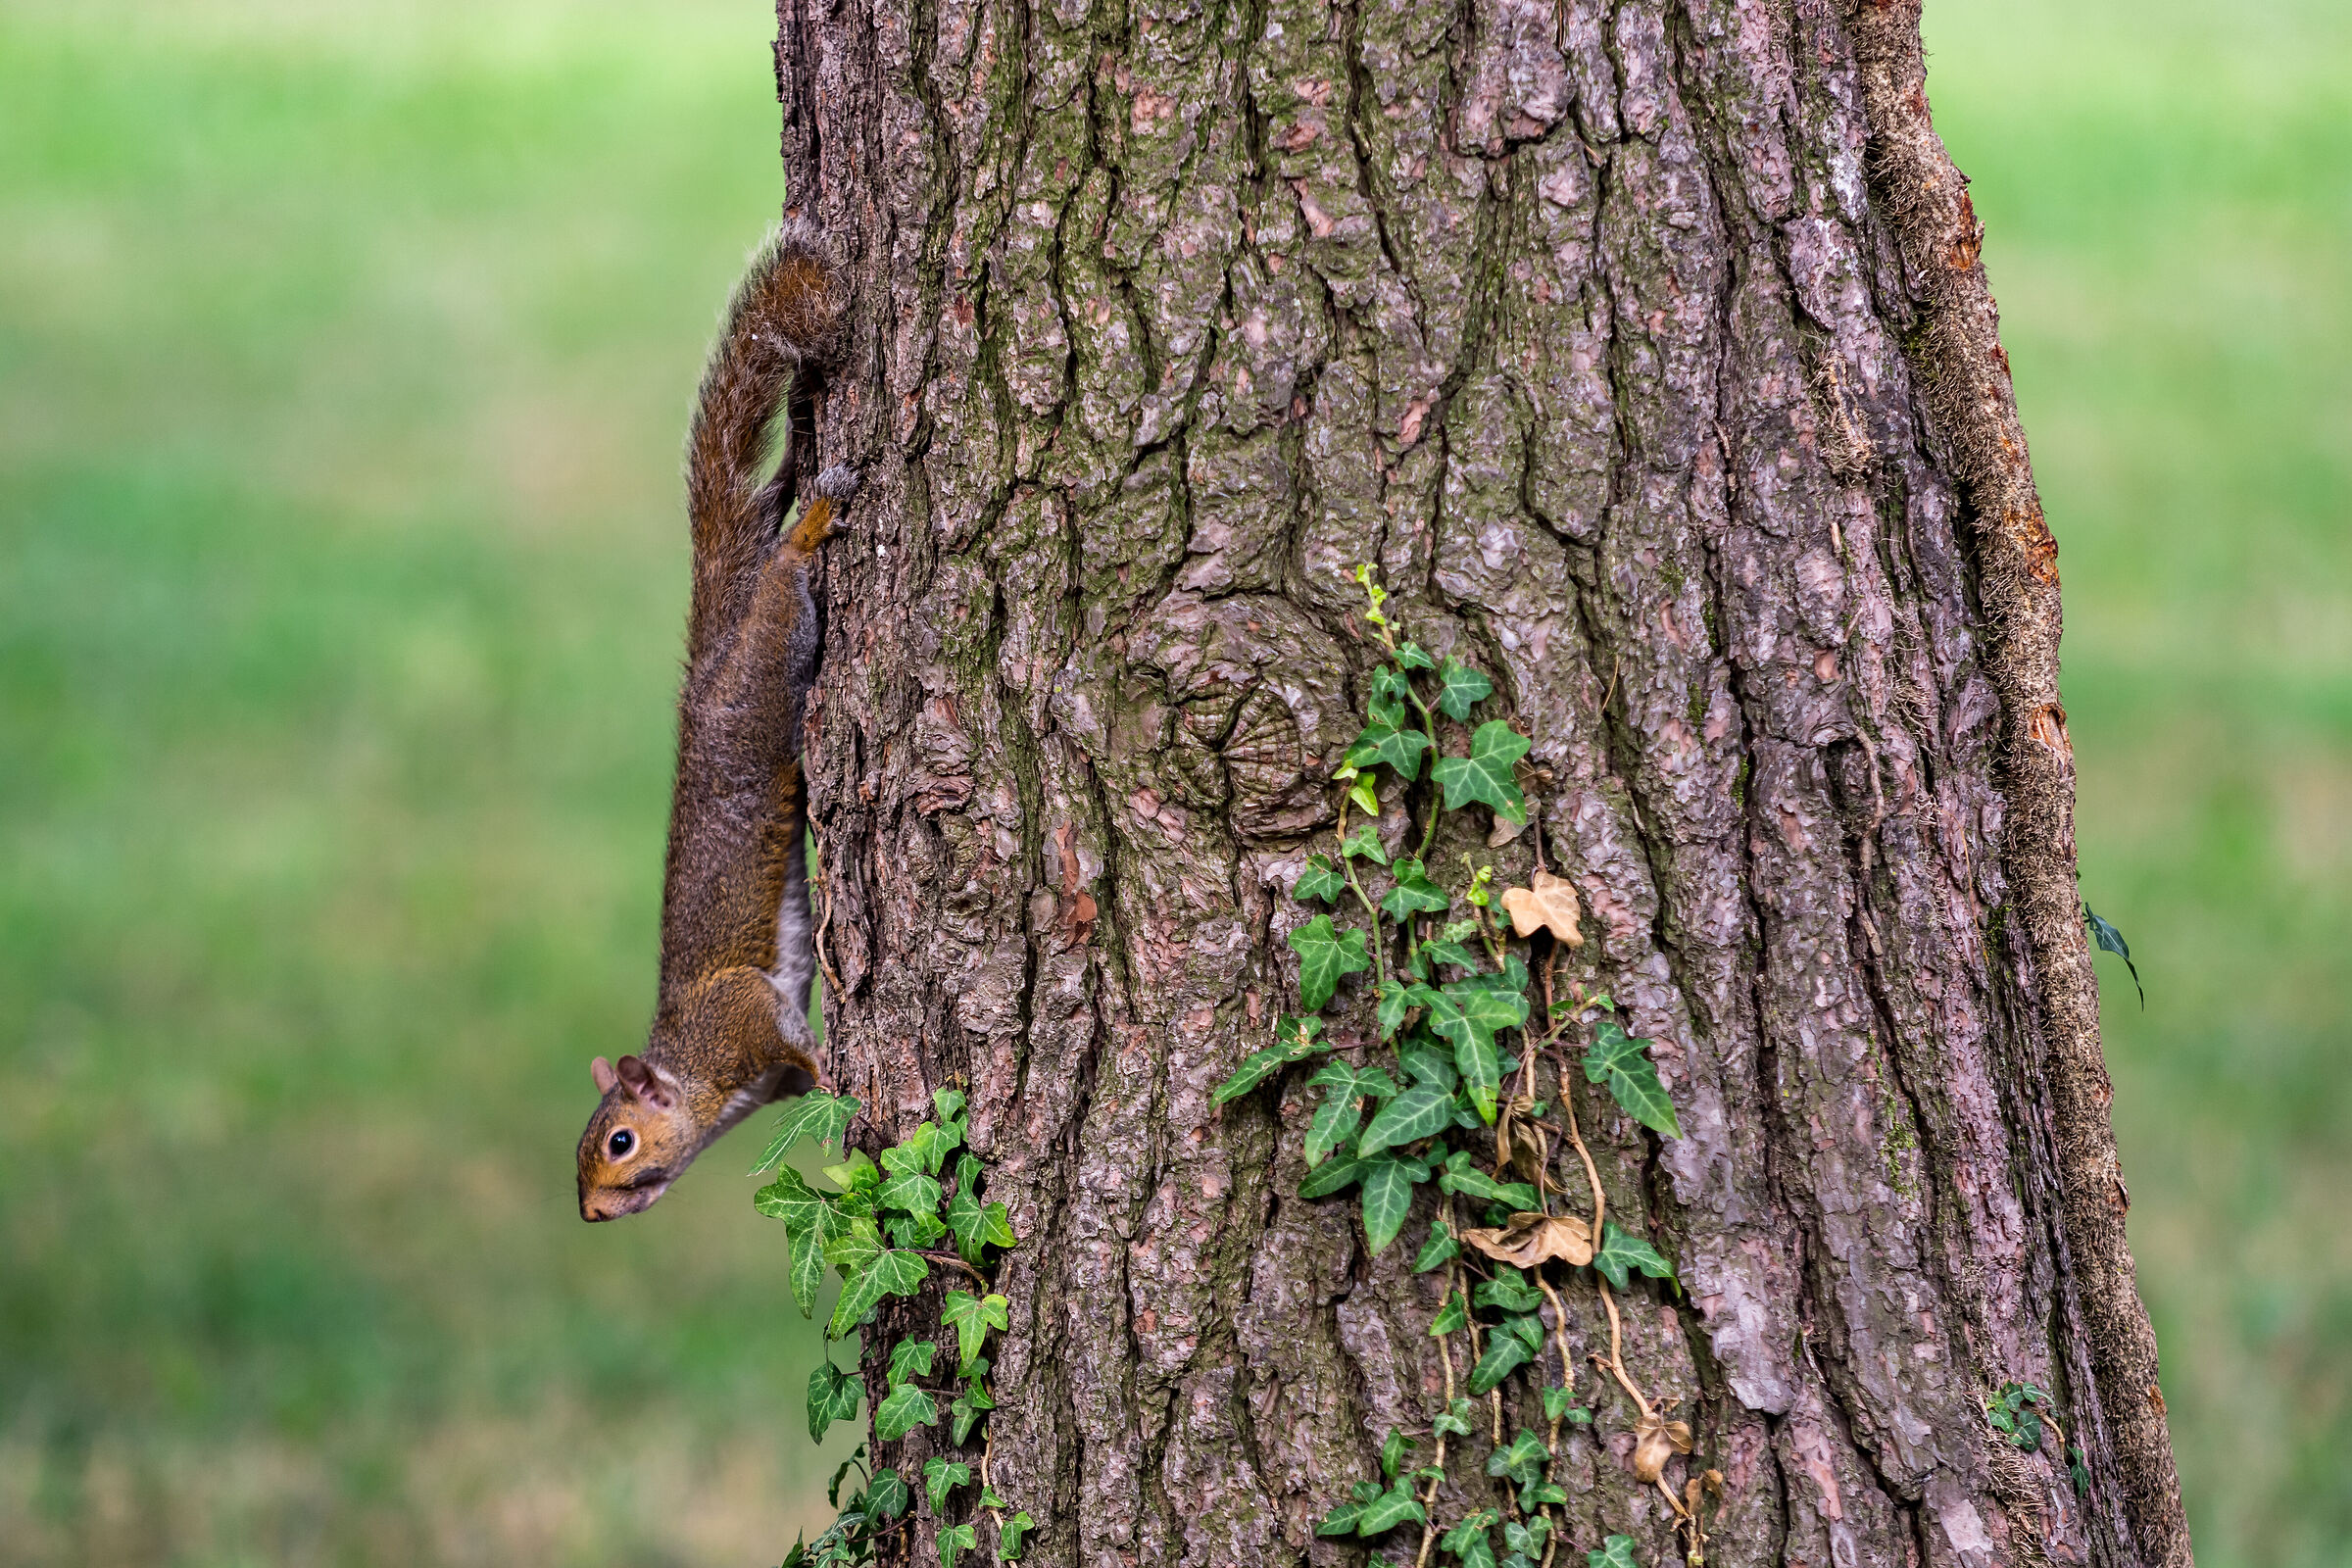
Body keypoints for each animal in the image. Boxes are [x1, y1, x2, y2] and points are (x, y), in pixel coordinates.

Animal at [576, 221, 854, 1222]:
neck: (699, 1078)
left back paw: (806, 529)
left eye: (620, 1142)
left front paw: (833, 1064)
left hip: (764, 686)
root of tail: (704, 683)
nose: (593, 1214)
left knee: (782, 587)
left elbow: (784, 1030)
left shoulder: (736, 1013)